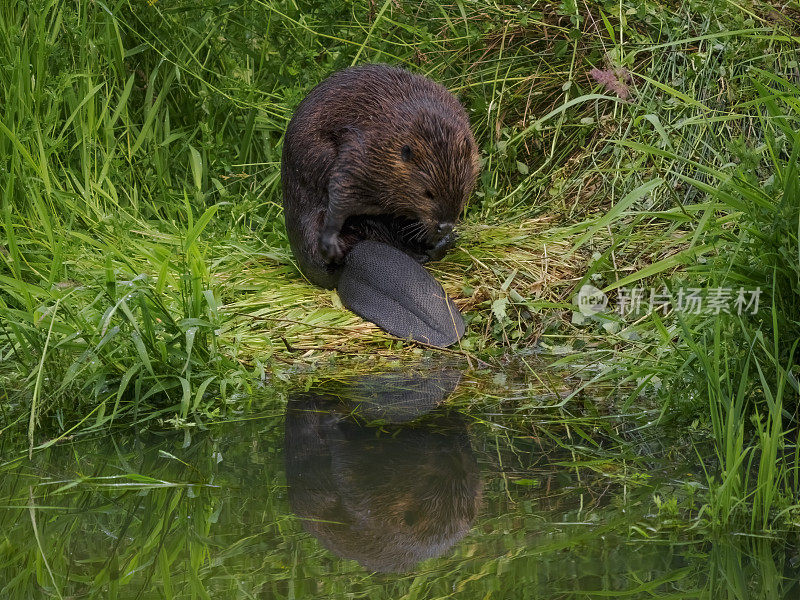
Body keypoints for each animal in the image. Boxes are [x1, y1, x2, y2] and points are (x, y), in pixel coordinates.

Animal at [282, 64, 478, 346]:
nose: (444, 225)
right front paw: (329, 241)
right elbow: (341, 188)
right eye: (428, 193)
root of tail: (350, 264)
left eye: (462, 191)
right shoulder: (362, 149)